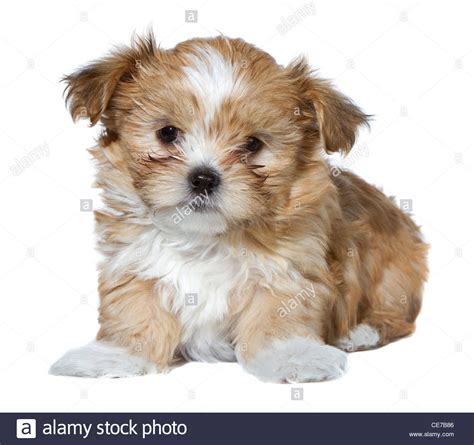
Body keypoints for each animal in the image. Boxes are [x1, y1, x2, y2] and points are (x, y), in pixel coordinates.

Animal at [50, 33, 428, 382]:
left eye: (252, 144)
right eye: (167, 133)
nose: (204, 178)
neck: (206, 238)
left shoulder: (291, 269)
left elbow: (279, 317)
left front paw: (291, 357)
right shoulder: (134, 263)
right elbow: (134, 310)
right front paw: (114, 356)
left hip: (394, 278)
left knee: (397, 318)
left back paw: (360, 332)